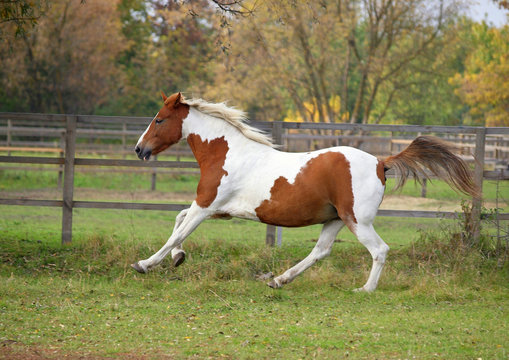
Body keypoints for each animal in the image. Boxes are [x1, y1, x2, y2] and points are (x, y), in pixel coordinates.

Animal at [131, 93, 476, 292]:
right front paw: (178, 258)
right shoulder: (216, 209)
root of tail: (381, 162)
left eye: (159, 120)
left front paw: (145, 264)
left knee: (379, 250)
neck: (226, 153)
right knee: (321, 251)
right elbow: (178, 221)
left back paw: (364, 290)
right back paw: (279, 280)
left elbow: (176, 232)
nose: (139, 149)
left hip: (357, 221)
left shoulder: (206, 205)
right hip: (335, 219)